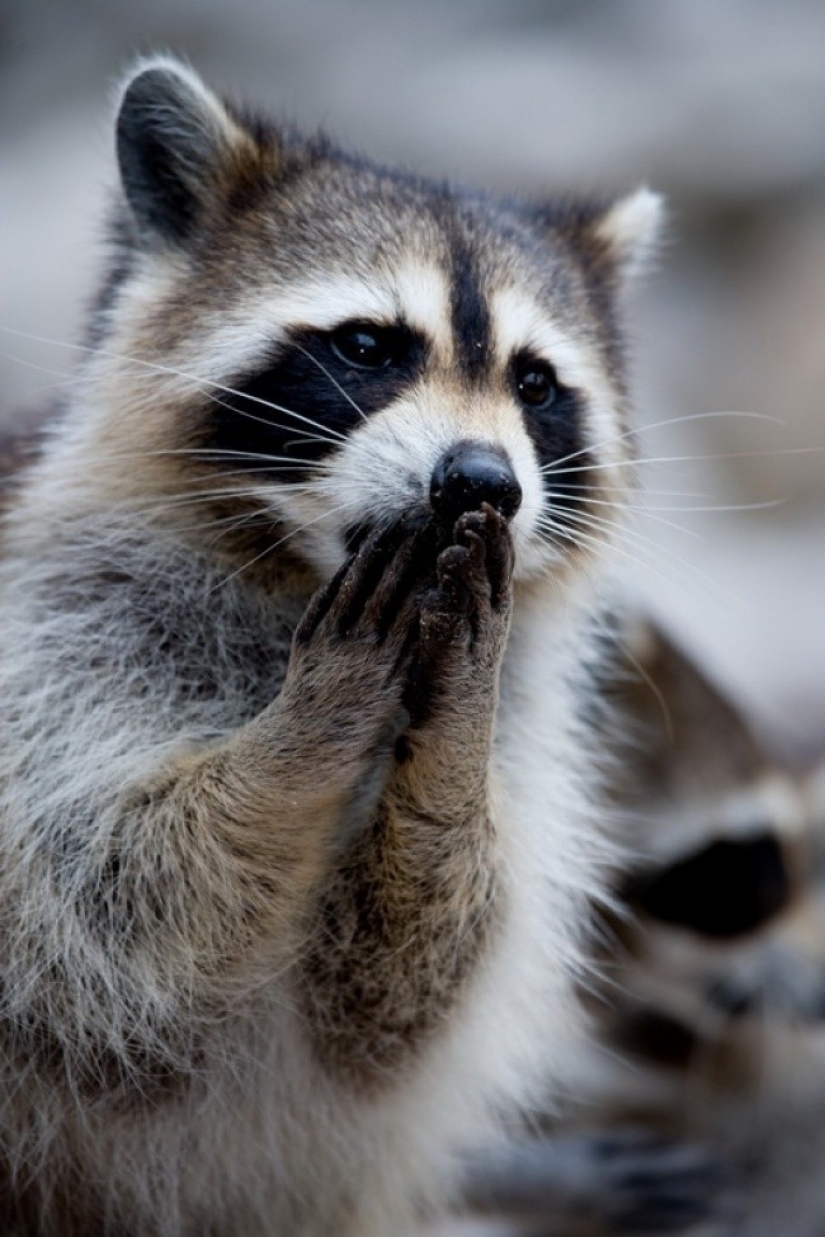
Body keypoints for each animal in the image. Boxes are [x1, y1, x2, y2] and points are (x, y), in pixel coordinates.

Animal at [0, 57, 662, 1236]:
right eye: (365, 346)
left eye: (535, 384)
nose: (482, 481)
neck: (300, 580)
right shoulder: (50, 646)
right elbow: (111, 919)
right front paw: (308, 731)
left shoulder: (530, 743)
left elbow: (394, 997)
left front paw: (444, 754)